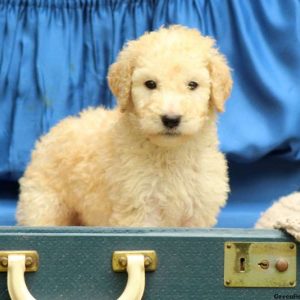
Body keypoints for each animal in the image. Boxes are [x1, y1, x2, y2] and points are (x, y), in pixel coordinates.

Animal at [15, 25, 232, 226]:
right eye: (150, 84)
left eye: (192, 85)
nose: (171, 119)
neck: (169, 153)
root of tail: (53, 132)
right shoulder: (138, 208)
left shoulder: (198, 212)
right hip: (43, 203)